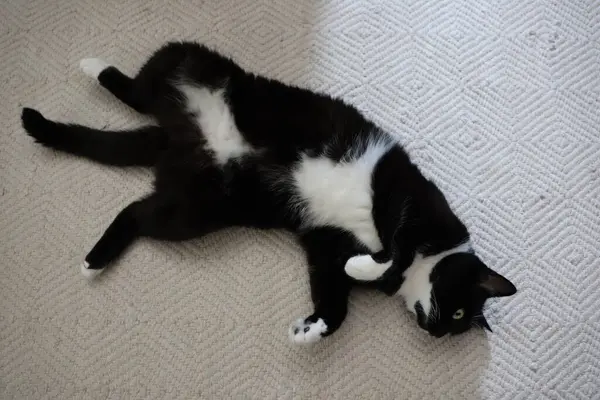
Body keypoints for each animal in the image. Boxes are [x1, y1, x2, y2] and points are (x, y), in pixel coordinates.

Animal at [19, 42, 516, 346]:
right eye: (458, 315)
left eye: (455, 328)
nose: (436, 332)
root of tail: (176, 138)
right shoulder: (410, 199)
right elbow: (395, 246)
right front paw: (373, 265)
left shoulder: (325, 248)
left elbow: (336, 304)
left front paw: (310, 331)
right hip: (194, 63)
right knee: (139, 87)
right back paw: (94, 67)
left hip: (193, 209)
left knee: (136, 212)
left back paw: (93, 261)